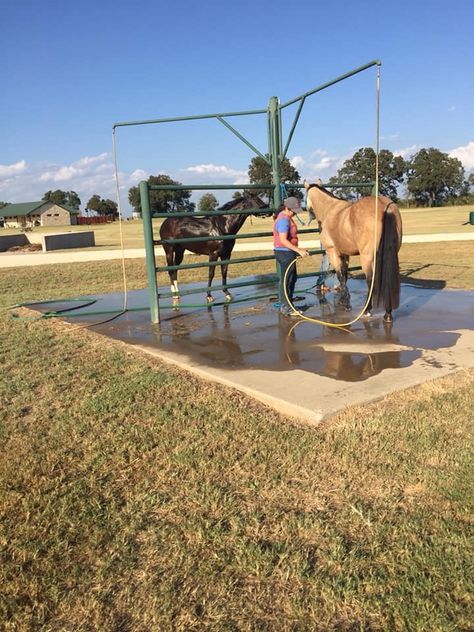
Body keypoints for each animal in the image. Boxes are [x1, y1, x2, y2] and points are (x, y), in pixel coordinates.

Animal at [304, 180, 404, 324]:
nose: (310, 215)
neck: (329, 209)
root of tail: (386, 207)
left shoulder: (333, 253)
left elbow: (340, 276)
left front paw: (346, 305)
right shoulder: (345, 254)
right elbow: (344, 276)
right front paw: (343, 301)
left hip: (367, 258)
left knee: (370, 281)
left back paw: (367, 310)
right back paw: (387, 314)